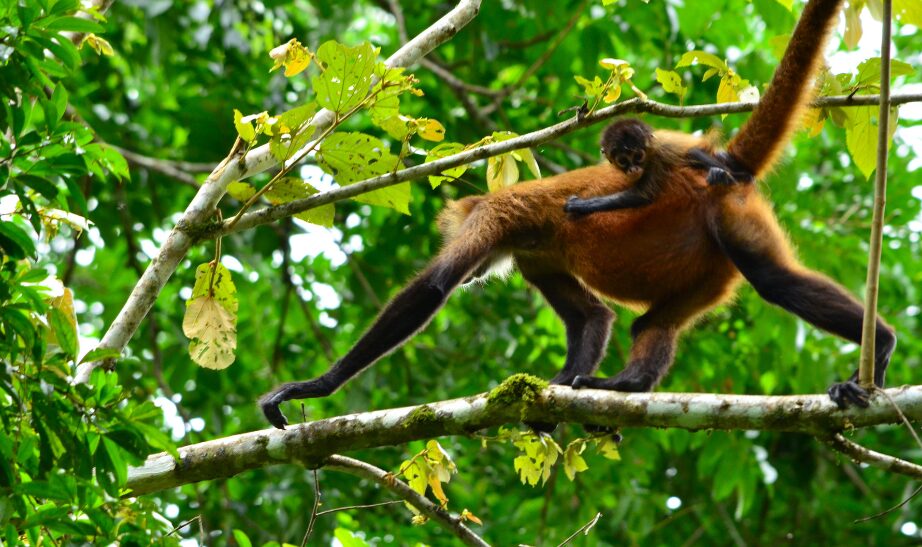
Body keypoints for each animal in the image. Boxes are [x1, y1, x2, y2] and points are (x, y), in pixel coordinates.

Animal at [260, 0, 894, 430]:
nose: (477, 277)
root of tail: (713, 164)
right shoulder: (529, 257)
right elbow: (593, 316)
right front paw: (557, 393)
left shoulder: (496, 218)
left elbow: (432, 288)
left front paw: (314, 387)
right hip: (709, 269)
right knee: (652, 324)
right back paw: (629, 385)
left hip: (730, 214)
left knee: (773, 280)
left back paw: (882, 344)